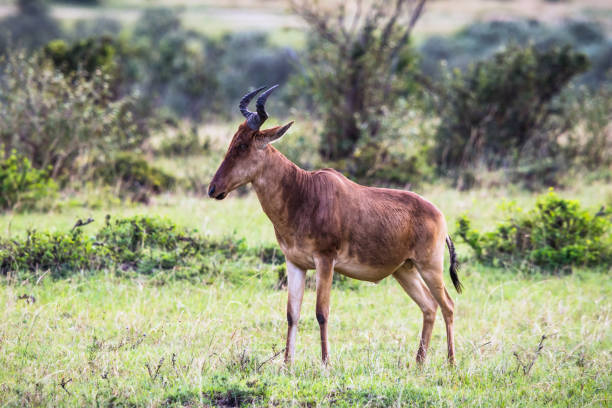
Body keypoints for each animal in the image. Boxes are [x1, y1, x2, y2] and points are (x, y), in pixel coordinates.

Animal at [208, 84, 462, 364]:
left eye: (243, 145)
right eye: (233, 141)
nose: (213, 189)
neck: (303, 191)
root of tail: (439, 216)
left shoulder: (325, 260)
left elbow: (322, 312)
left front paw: (325, 363)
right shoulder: (295, 263)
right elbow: (292, 314)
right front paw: (286, 364)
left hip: (430, 266)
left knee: (448, 305)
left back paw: (451, 362)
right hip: (404, 270)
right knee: (429, 306)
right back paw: (418, 363)